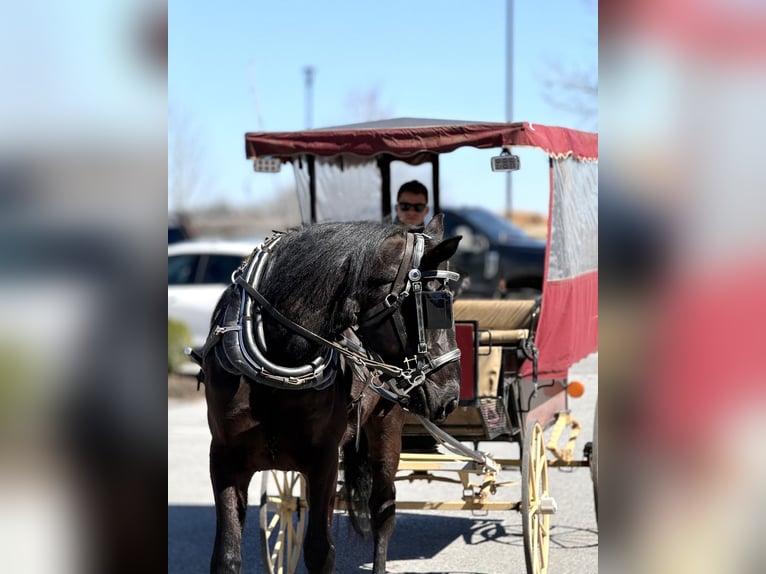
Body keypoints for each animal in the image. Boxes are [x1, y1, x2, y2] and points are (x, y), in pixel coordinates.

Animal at [197, 214, 462, 574]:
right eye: (438, 304)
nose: (451, 395)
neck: (277, 364)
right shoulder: (225, 458)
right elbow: (226, 553)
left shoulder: (322, 460)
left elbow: (320, 551)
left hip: (387, 428)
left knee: (383, 510)